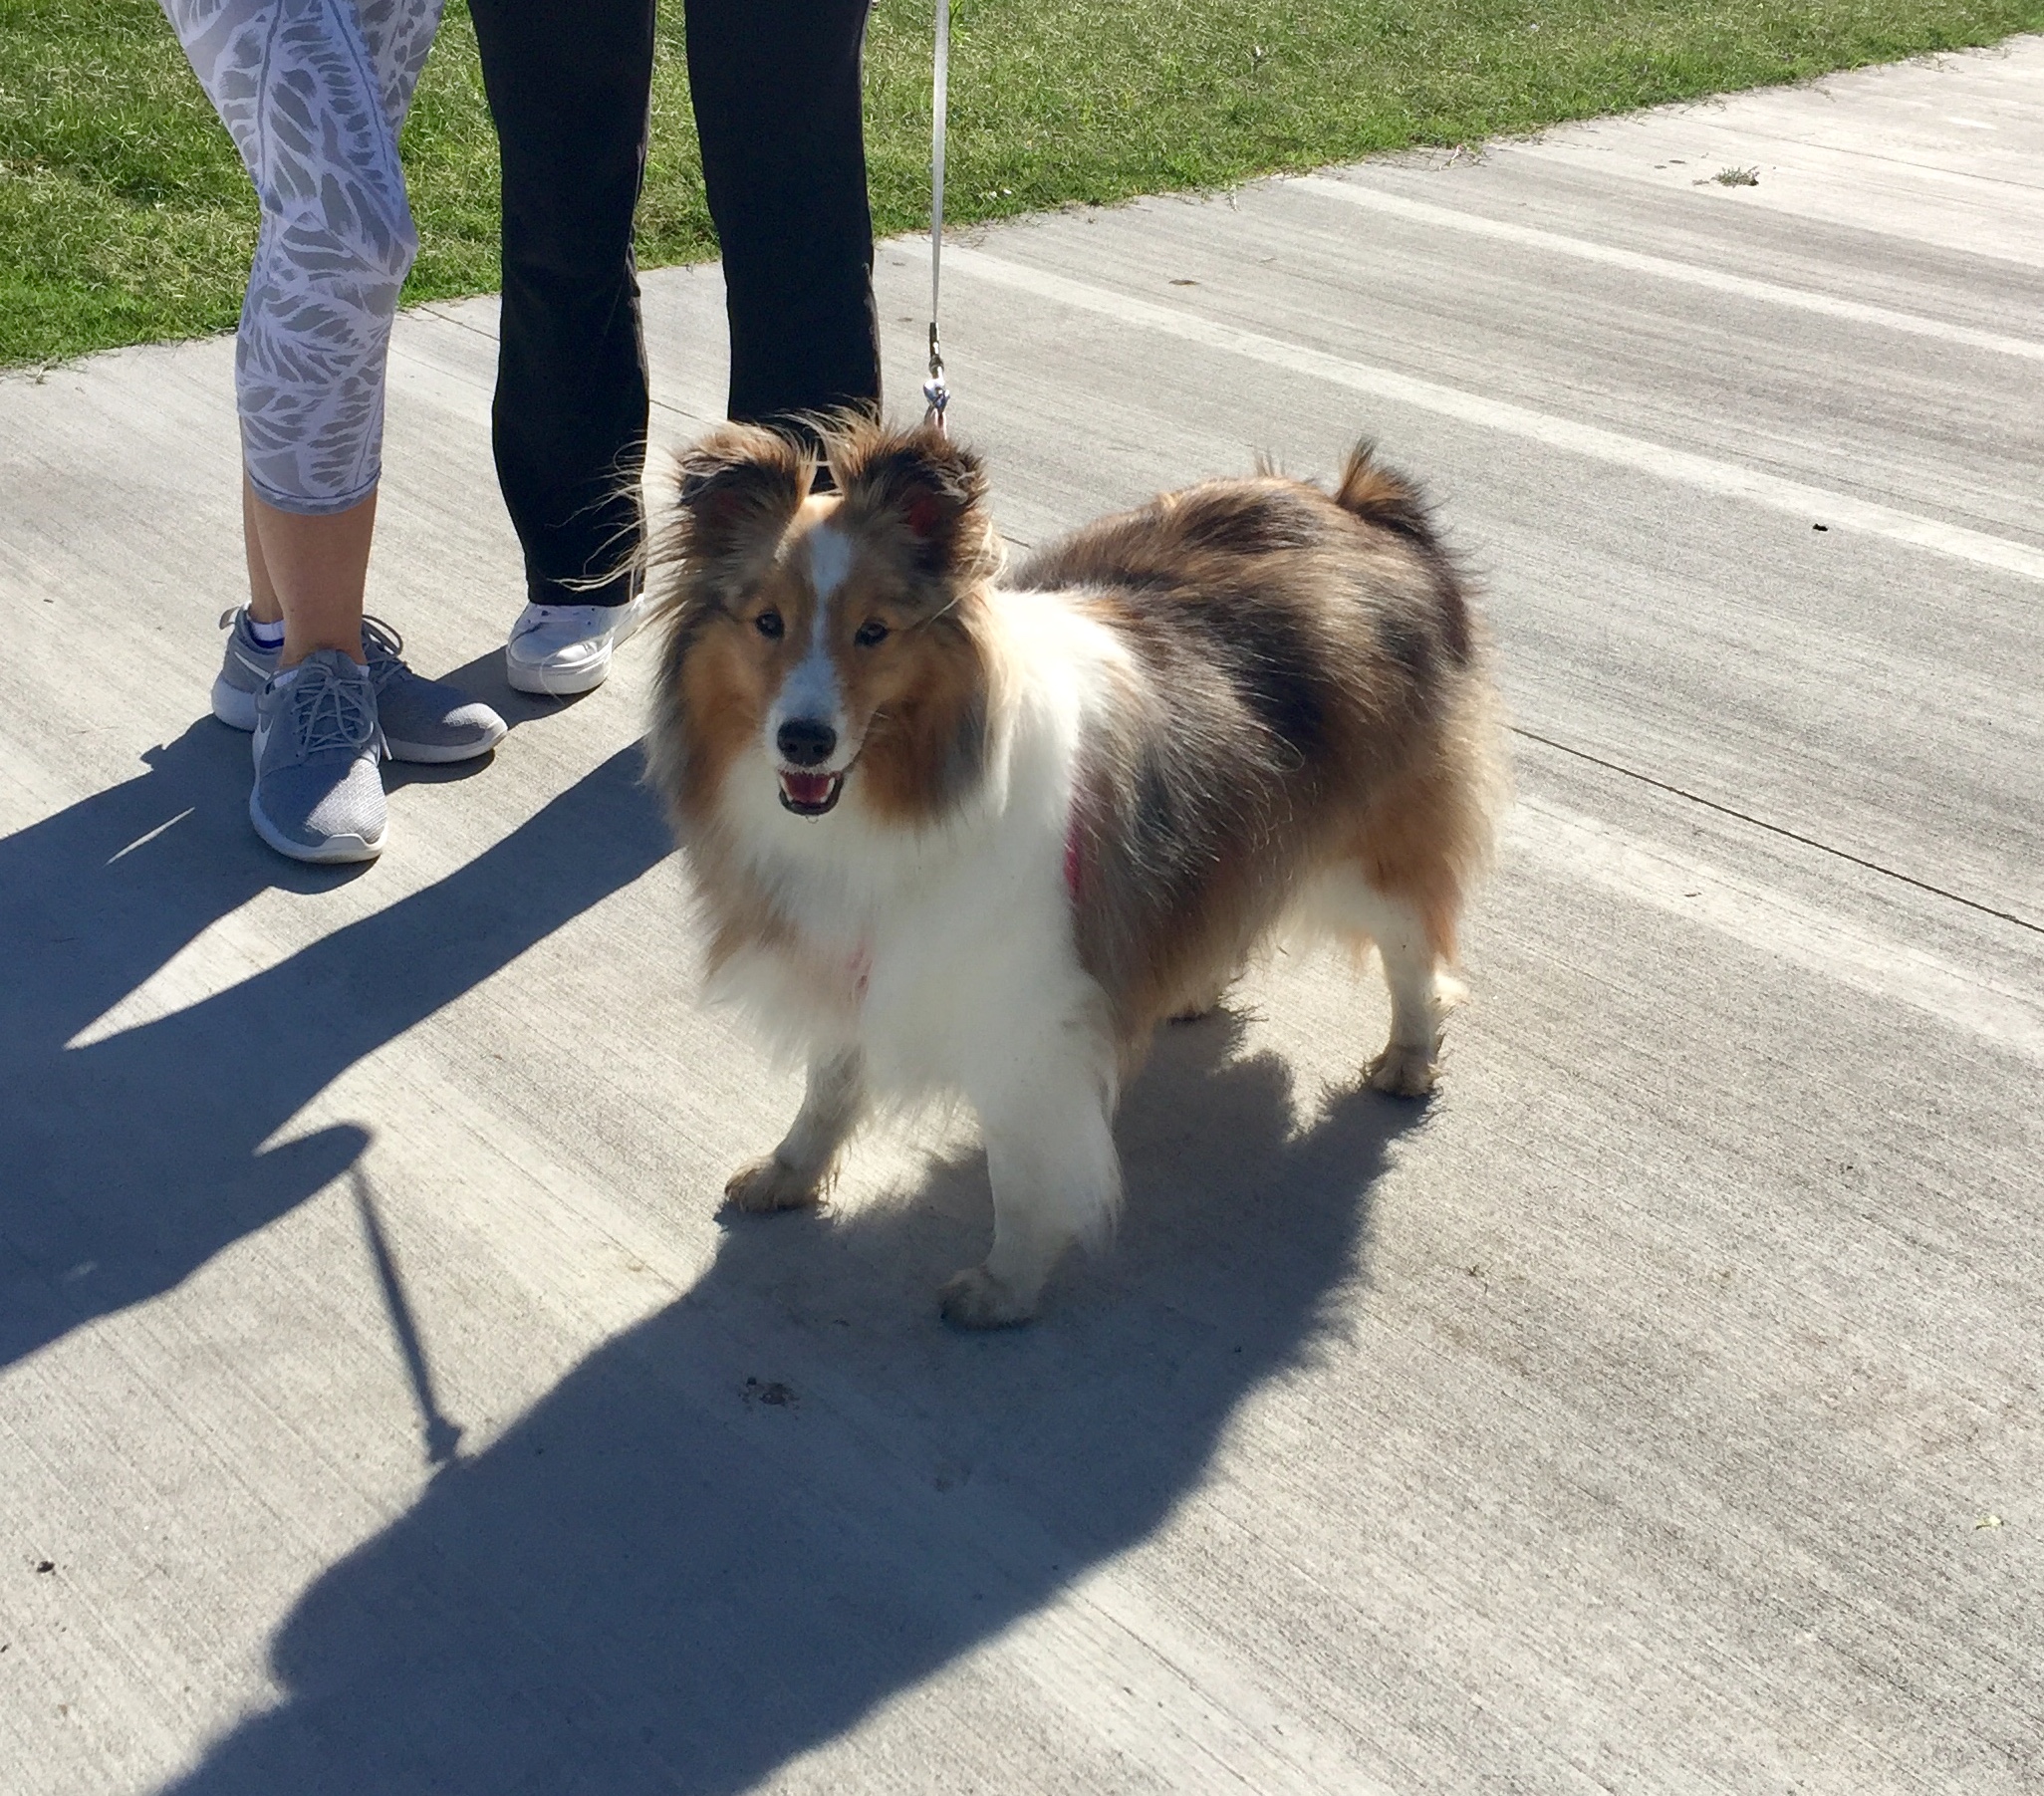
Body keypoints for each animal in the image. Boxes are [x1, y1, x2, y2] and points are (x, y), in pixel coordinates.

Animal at [645, 418, 1512, 1324]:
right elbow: (830, 1083)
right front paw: (791, 1171)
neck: (898, 800)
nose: (804, 740)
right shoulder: (865, 948)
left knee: (1412, 949)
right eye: (767, 622)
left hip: (1371, 847)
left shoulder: (1026, 1015)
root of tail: (1361, 505)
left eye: (874, 631)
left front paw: (1007, 1284)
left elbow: (1021, 1171)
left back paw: (1408, 1057)